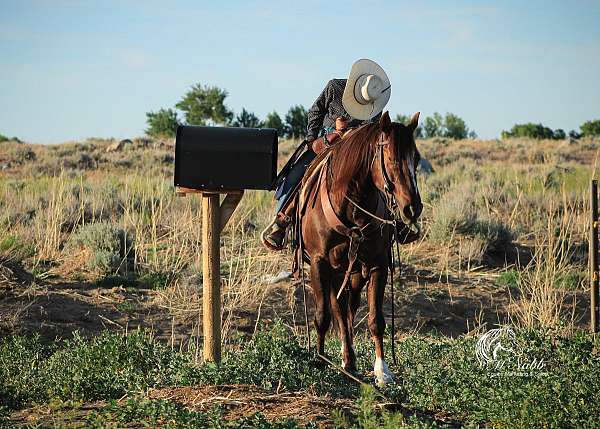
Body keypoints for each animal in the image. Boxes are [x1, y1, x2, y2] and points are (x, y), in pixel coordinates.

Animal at [300, 110, 422, 384]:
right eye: (391, 158)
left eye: (417, 159)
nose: (413, 208)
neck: (351, 205)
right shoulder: (319, 263)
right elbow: (322, 315)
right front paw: (320, 360)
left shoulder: (378, 265)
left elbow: (376, 319)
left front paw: (382, 370)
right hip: (336, 271)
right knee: (337, 308)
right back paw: (344, 359)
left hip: (354, 274)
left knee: (347, 308)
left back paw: (349, 359)